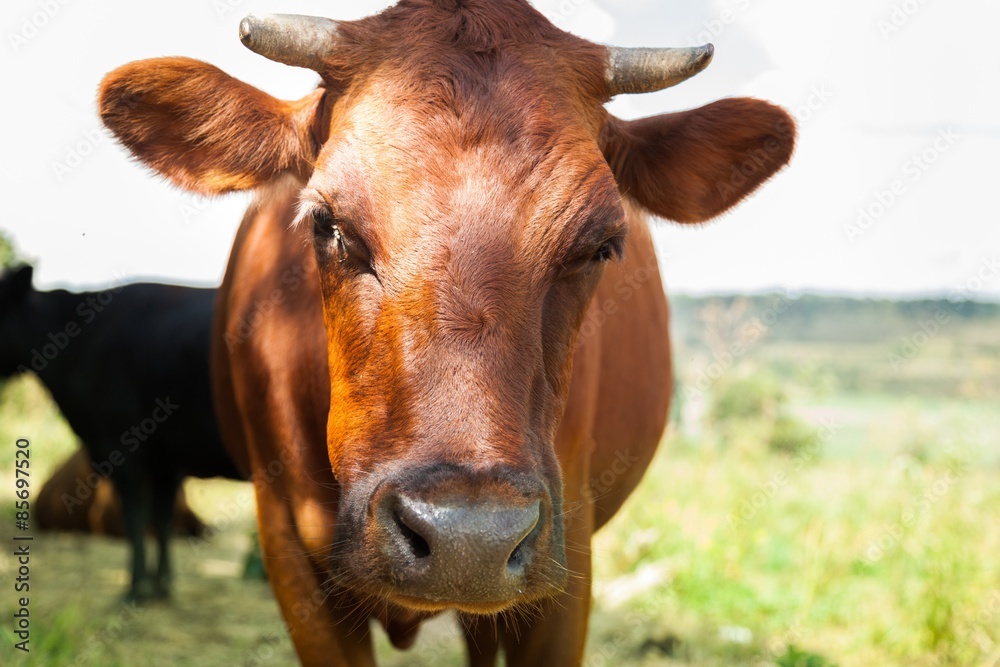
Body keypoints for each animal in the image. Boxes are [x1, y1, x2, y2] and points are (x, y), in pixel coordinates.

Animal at [0, 264, 242, 600]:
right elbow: (161, 519)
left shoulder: (119, 447)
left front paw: (136, 589)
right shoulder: (165, 461)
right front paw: (161, 587)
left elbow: (136, 517)